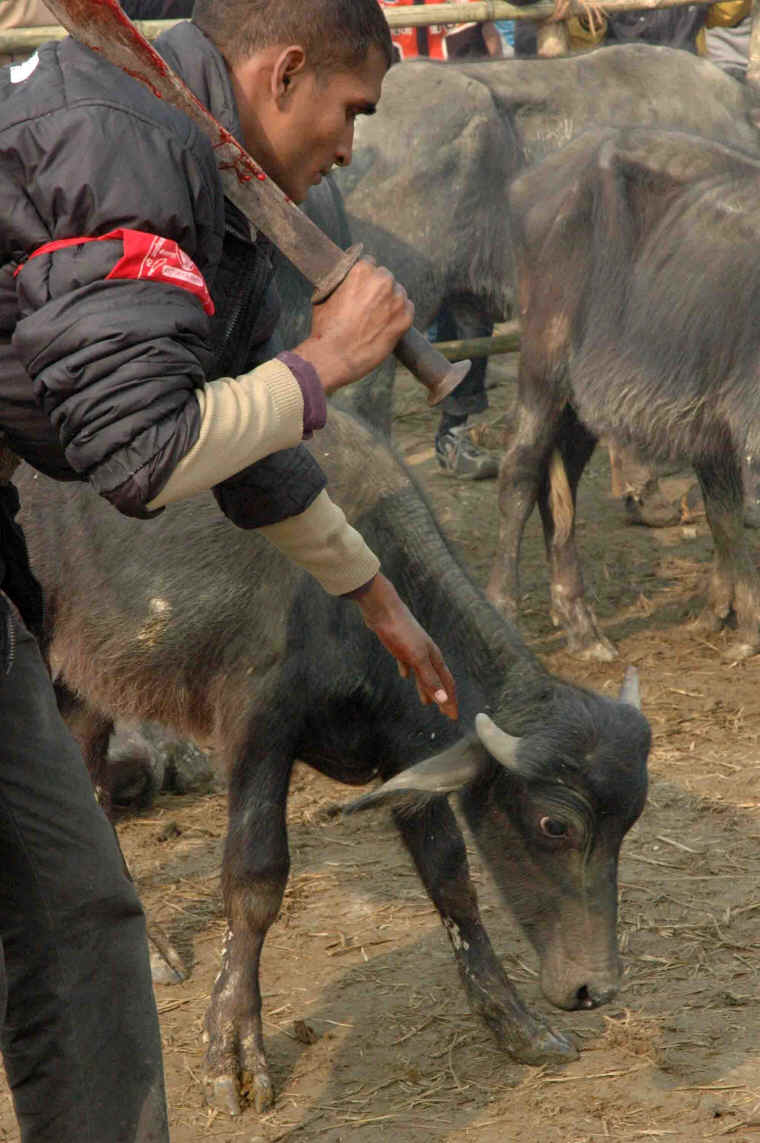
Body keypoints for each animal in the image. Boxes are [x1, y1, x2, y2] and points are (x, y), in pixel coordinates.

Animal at [16, 409, 650, 1116]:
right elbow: (256, 878)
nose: (596, 988)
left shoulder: (411, 747)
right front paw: (234, 1050)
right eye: (555, 825)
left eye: (630, 823)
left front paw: (514, 1021)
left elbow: (451, 877)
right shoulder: (258, 727)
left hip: (88, 680)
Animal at [489, 126, 760, 662]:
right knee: (520, 470)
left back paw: (581, 626)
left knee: (560, 486)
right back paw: (503, 612)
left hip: (579, 402)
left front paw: (728, 618)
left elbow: (724, 512)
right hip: (542, 363)